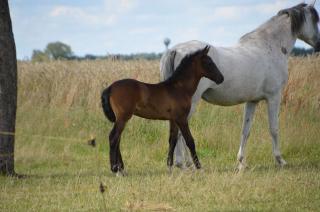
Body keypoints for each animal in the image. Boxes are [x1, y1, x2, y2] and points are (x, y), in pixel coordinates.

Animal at [101, 46, 224, 174]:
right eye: (209, 62)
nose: (221, 78)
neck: (179, 88)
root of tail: (110, 88)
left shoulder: (173, 119)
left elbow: (172, 140)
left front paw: (169, 167)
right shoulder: (182, 119)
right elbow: (190, 141)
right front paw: (199, 167)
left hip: (121, 118)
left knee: (117, 139)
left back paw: (121, 168)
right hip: (123, 117)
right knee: (113, 138)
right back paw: (115, 169)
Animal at [160, 2, 320, 171]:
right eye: (314, 19)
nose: (318, 44)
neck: (270, 46)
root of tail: (175, 49)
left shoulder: (252, 101)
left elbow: (246, 131)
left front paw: (241, 162)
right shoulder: (274, 97)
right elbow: (274, 129)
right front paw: (280, 160)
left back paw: (186, 164)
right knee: (179, 132)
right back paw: (183, 165)